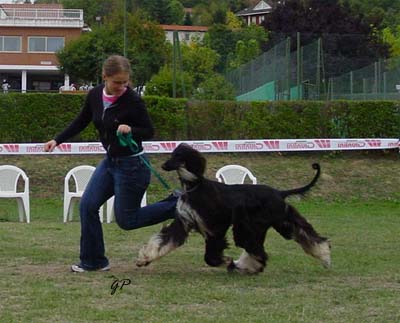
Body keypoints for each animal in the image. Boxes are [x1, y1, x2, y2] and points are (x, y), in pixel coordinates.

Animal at [138, 144, 332, 274]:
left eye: (178, 156)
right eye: (172, 154)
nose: (163, 166)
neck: (194, 187)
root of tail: (279, 192)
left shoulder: (215, 226)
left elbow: (210, 256)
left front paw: (225, 260)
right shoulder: (183, 221)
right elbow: (163, 240)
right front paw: (144, 258)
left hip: (258, 224)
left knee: (258, 248)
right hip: (274, 222)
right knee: (283, 240)